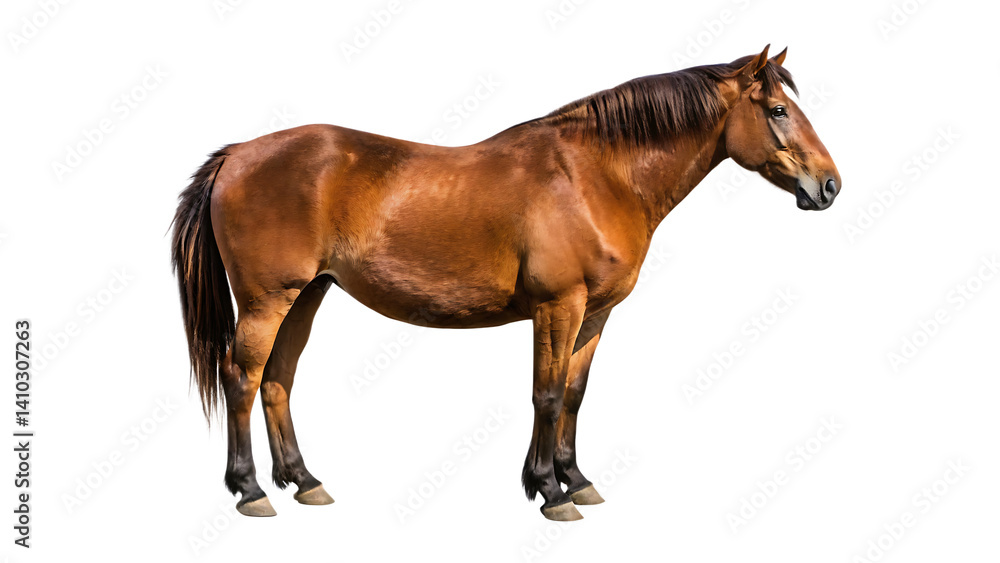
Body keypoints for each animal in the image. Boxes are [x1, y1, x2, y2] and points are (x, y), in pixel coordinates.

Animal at [172, 45, 840, 521]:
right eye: (778, 110)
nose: (829, 185)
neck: (594, 177)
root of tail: (237, 154)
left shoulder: (595, 314)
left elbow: (573, 394)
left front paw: (577, 481)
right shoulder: (558, 306)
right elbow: (545, 394)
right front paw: (548, 492)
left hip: (308, 294)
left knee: (277, 380)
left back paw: (305, 482)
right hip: (269, 298)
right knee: (242, 377)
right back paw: (251, 490)